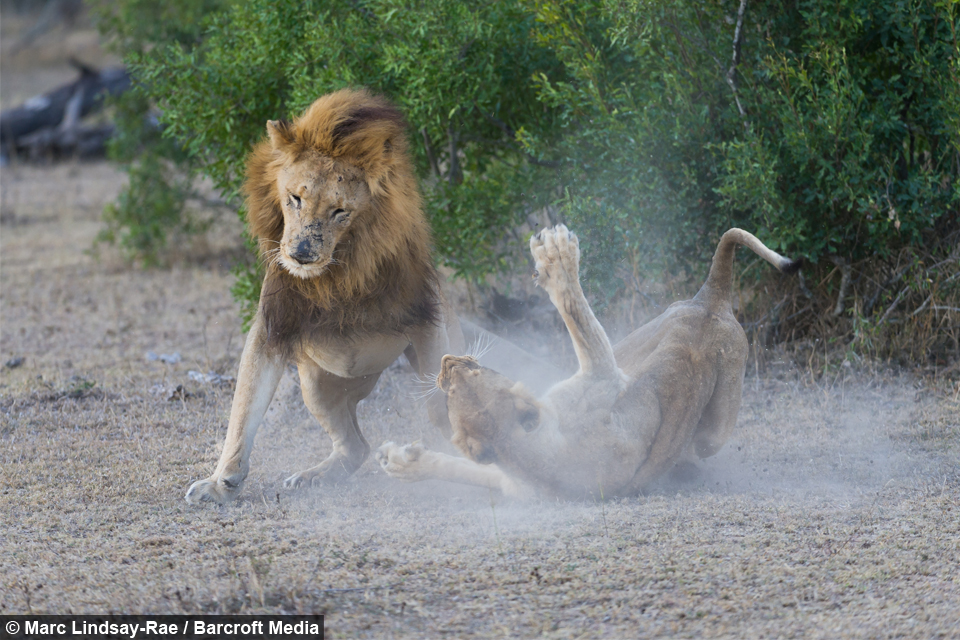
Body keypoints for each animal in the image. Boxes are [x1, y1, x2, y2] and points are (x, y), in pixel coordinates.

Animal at [185, 87, 464, 504]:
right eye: (295, 198)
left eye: (339, 211)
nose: (301, 253)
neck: (336, 274)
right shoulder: (272, 327)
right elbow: (244, 407)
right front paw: (221, 482)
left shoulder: (424, 318)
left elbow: (438, 406)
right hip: (314, 384)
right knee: (356, 445)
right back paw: (313, 476)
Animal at [378, 225, 800, 500]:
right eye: (464, 376)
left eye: (474, 371)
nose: (447, 360)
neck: (519, 450)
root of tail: (712, 300)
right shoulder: (603, 378)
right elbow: (577, 315)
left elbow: (467, 470)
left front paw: (401, 462)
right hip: (706, 405)